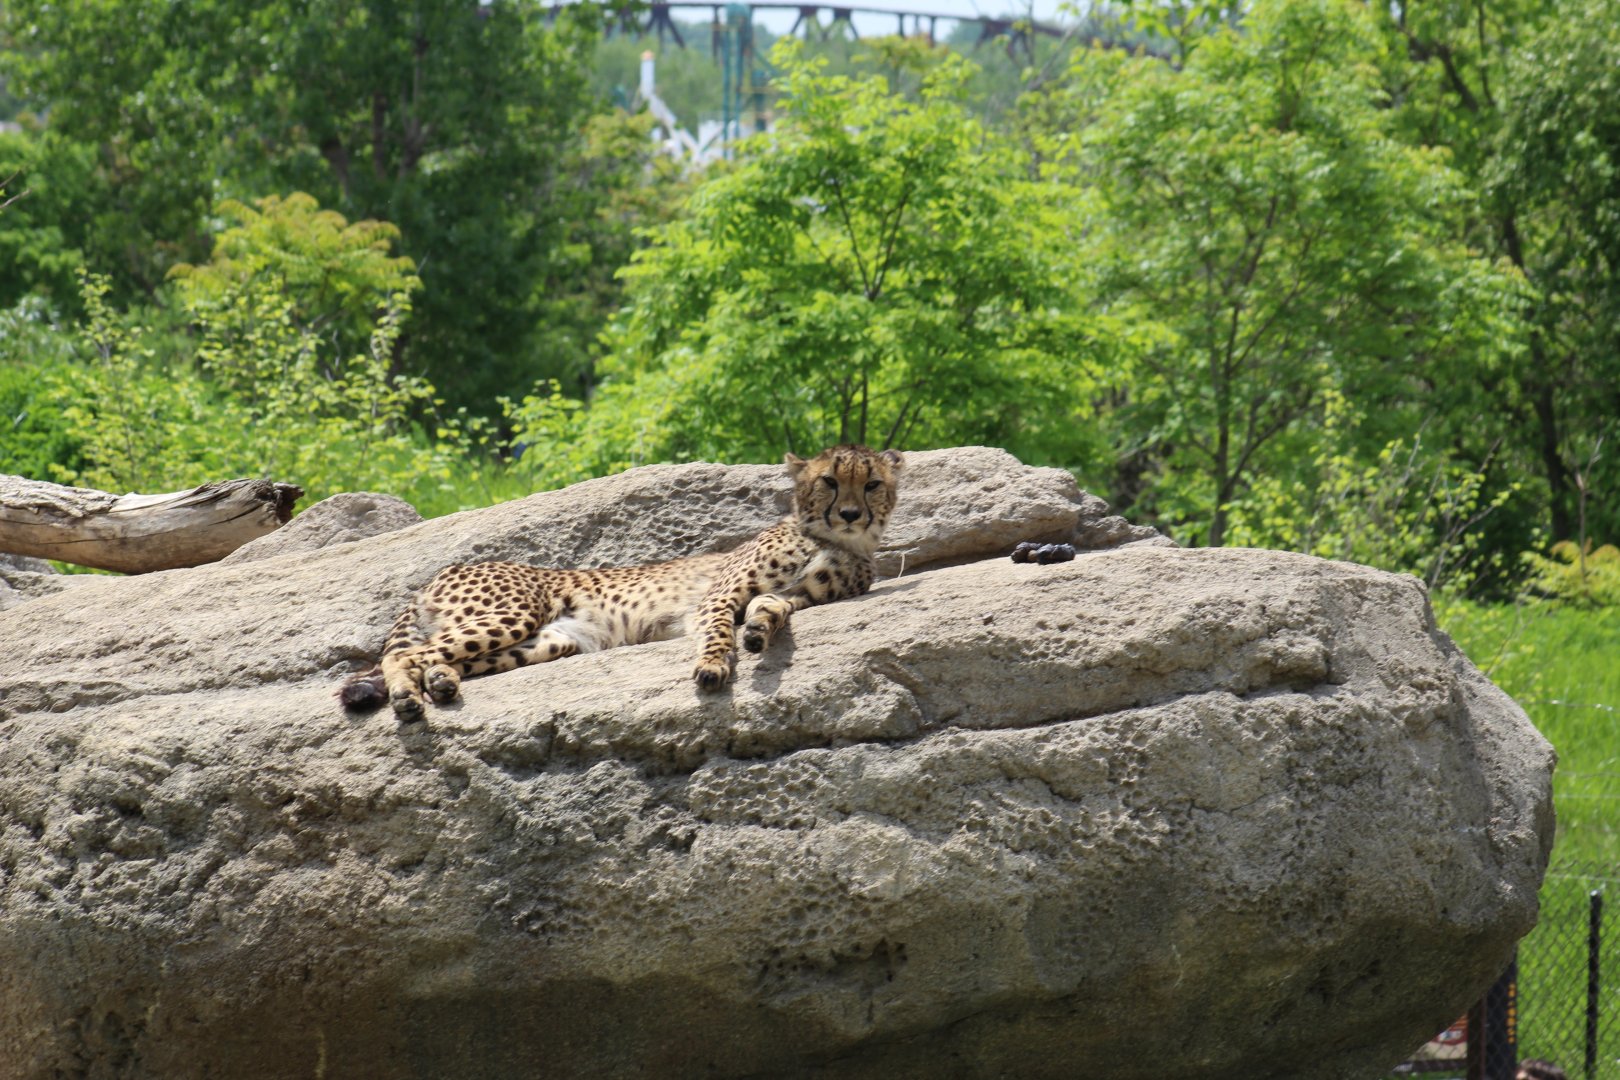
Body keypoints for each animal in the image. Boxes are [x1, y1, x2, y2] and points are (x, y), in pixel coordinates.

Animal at [340, 444, 904, 719]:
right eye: (829, 481)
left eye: (872, 484)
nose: (850, 514)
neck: (836, 540)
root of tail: (444, 569)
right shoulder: (716, 597)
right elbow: (718, 632)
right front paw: (713, 667)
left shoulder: (796, 595)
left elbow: (772, 607)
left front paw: (759, 632)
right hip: (513, 613)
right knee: (403, 655)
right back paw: (408, 696)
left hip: (551, 640)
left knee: (443, 657)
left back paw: (440, 681)